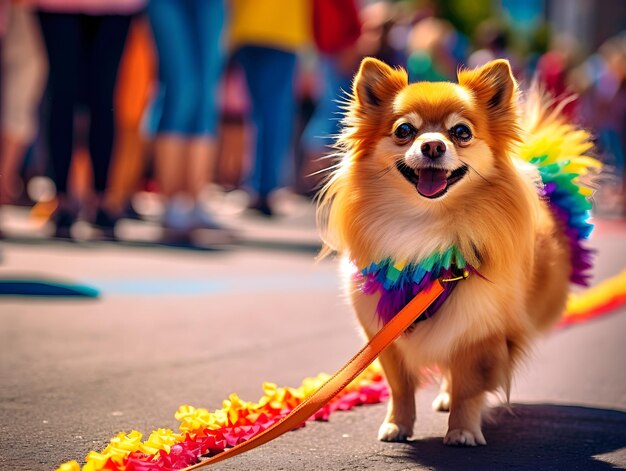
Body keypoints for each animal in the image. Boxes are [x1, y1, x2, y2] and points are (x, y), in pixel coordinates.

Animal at [316, 58, 600, 446]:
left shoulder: (480, 331)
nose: (433, 146)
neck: (426, 224)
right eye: (405, 130)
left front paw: (463, 430)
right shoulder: (386, 334)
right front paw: (397, 425)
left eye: (461, 132)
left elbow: (469, 386)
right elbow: (400, 386)